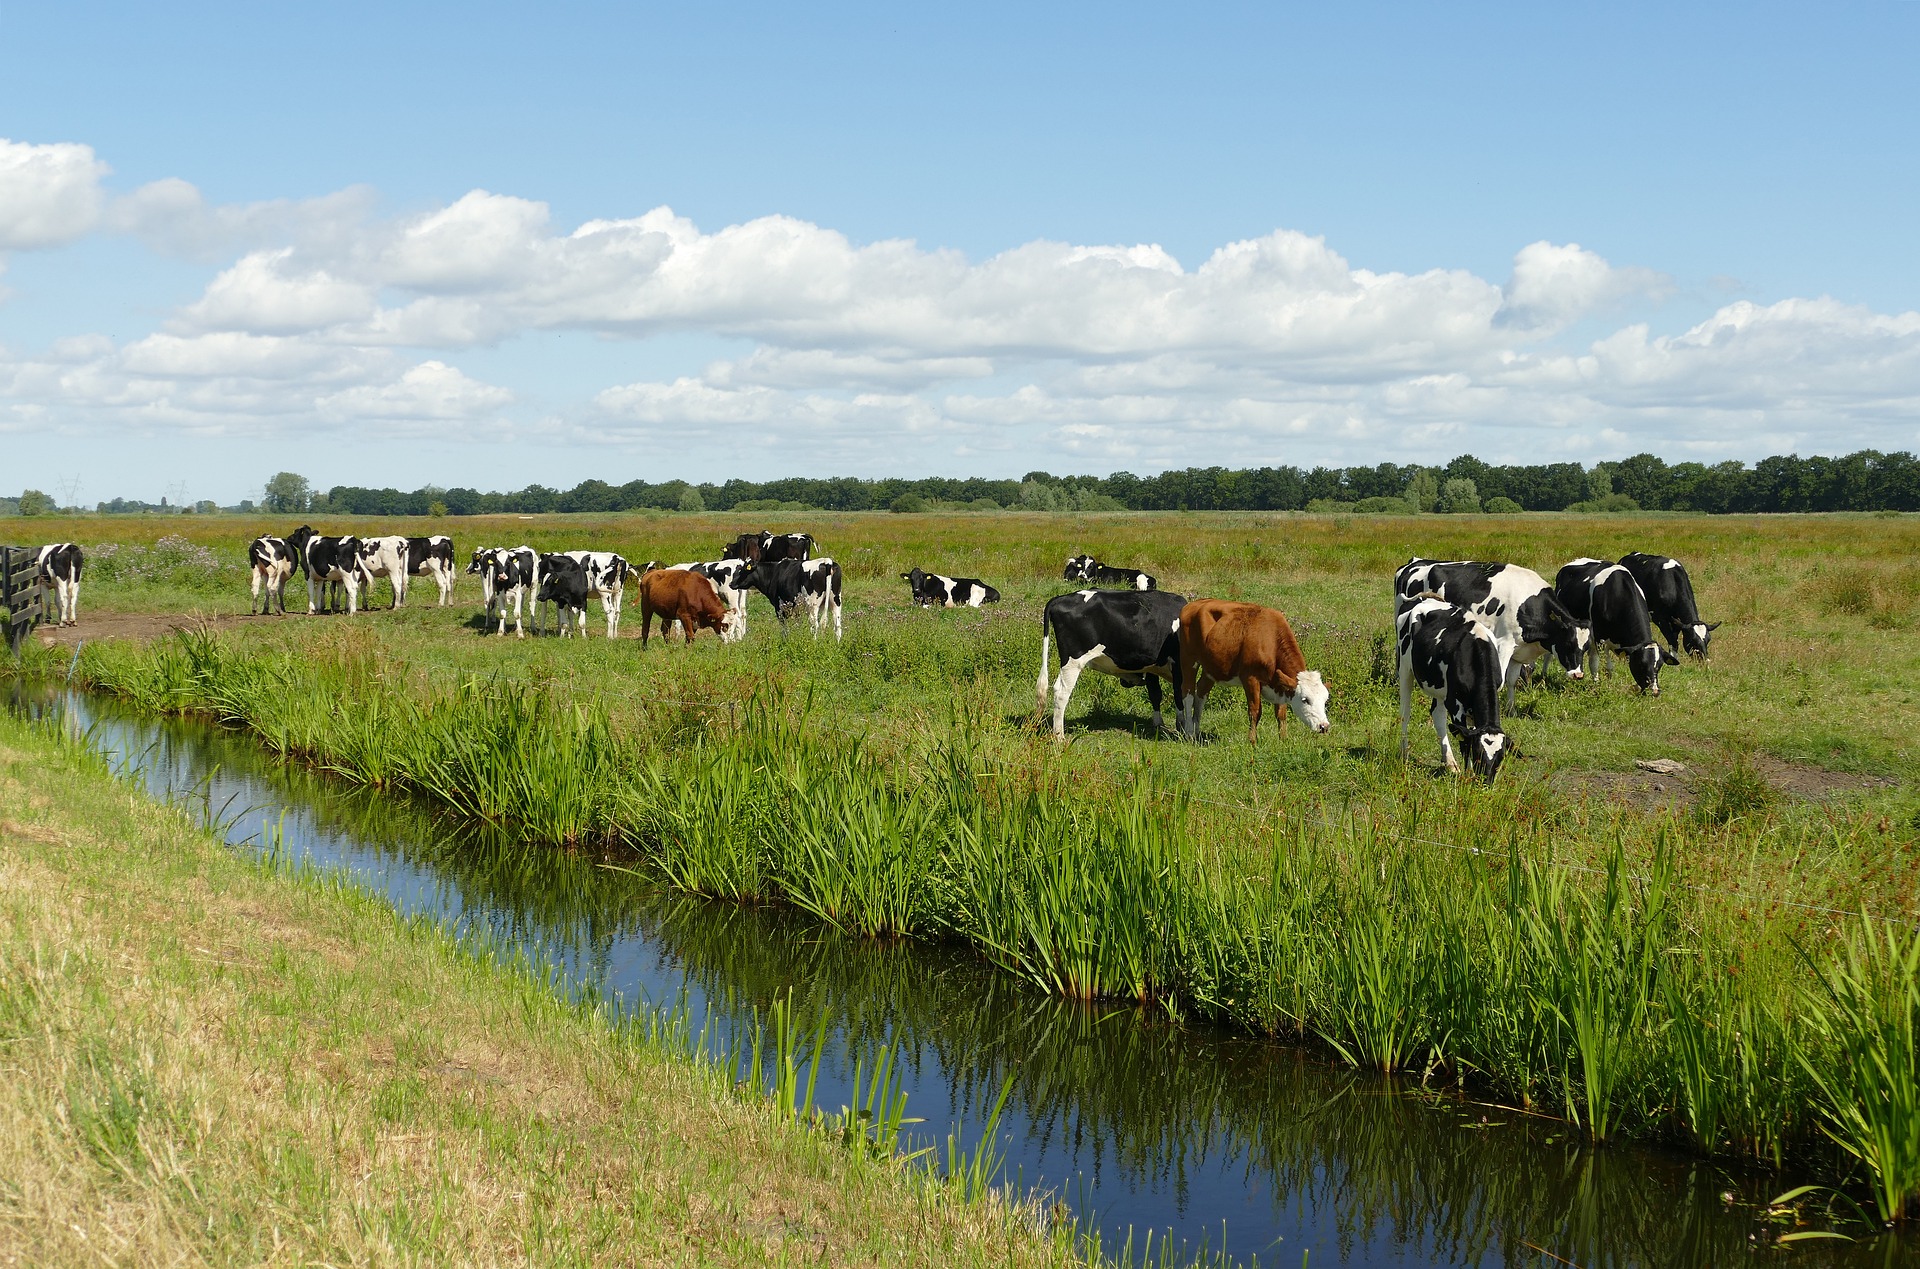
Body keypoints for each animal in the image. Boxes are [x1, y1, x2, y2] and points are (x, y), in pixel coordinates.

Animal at [1037, 588, 1187, 738]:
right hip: (1073, 661)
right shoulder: (1177, 664)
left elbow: (1155, 694)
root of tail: (1061, 598)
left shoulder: (1151, 666)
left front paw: (1159, 725)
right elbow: (1179, 695)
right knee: (1061, 693)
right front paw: (1181, 727)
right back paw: (1059, 736)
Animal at [1176, 599, 1331, 749]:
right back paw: (1189, 733)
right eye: (1305, 700)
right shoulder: (1250, 678)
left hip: (1211, 667)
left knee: (1201, 692)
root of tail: (1195, 604)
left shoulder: (1280, 684)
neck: (1271, 640)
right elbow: (1255, 711)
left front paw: (1283, 740)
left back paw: (1196, 730)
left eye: (1325, 700)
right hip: (1188, 659)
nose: (1324, 726)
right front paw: (1252, 742)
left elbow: (1281, 714)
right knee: (1188, 693)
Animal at [1392, 559, 1587, 706]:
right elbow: (1499, 681)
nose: (1578, 674)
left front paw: (1511, 709)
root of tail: (1412, 564)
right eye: (1569, 643)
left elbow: (1511, 680)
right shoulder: (1504, 644)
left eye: (1585, 649)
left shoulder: (1518, 650)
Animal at [1396, 597, 1509, 782]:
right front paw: (1468, 774)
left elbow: (1469, 732)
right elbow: (1464, 741)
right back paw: (1404, 754)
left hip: (1441, 688)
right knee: (1405, 713)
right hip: (1405, 668)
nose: (1486, 781)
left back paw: (1450, 763)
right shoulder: (1456, 703)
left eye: (1501, 757)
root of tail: (1424, 599)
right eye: (1478, 752)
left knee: (1437, 713)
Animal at [1555, 559, 1675, 695]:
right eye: (1641, 663)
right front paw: (1602, 686)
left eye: (1659, 666)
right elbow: (1605, 666)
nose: (1654, 691)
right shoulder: (1600, 639)